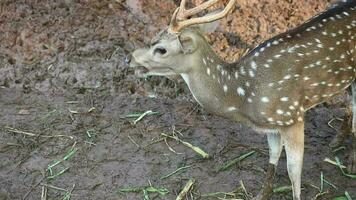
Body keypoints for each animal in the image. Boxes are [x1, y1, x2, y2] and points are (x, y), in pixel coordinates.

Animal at [126, 0, 354, 199]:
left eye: (161, 49)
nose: (129, 58)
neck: (243, 97)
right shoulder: (272, 127)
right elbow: (272, 157)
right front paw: (261, 195)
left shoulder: (291, 115)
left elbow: (293, 172)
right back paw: (337, 142)